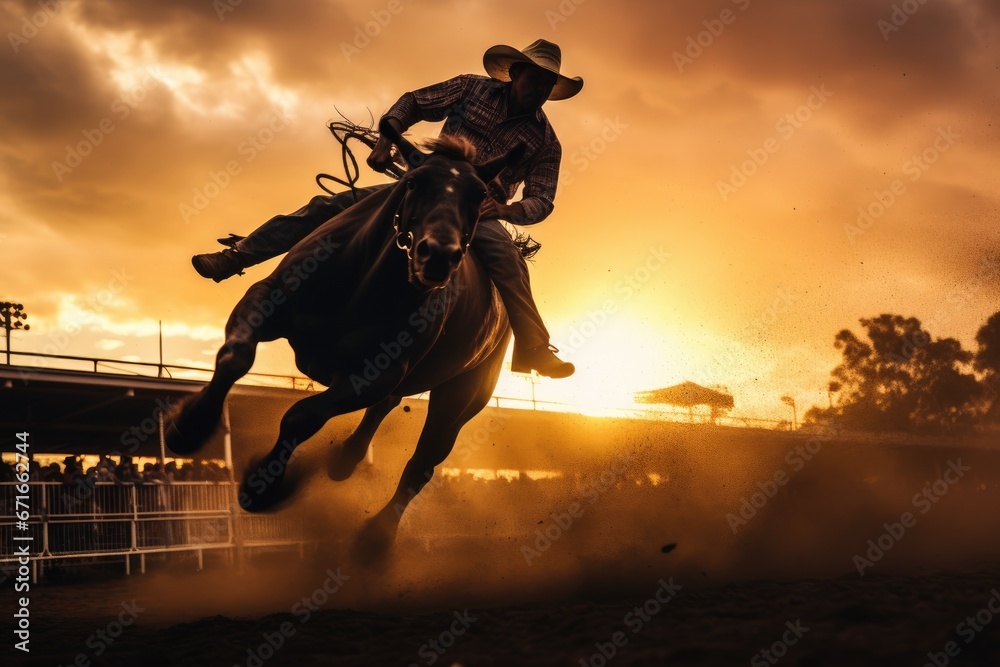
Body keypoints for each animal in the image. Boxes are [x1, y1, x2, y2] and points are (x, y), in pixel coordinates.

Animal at [166, 120, 524, 552]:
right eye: (414, 181)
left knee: (423, 461)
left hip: (465, 393)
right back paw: (344, 460)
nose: (438, 255)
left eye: (479, 194)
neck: (361, 282)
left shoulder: (374, 374)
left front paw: (261, 487)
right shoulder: (264, 299)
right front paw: (188, 427)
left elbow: (302, 416)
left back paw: (376, 537)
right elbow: (235, 356)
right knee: (387, 411)